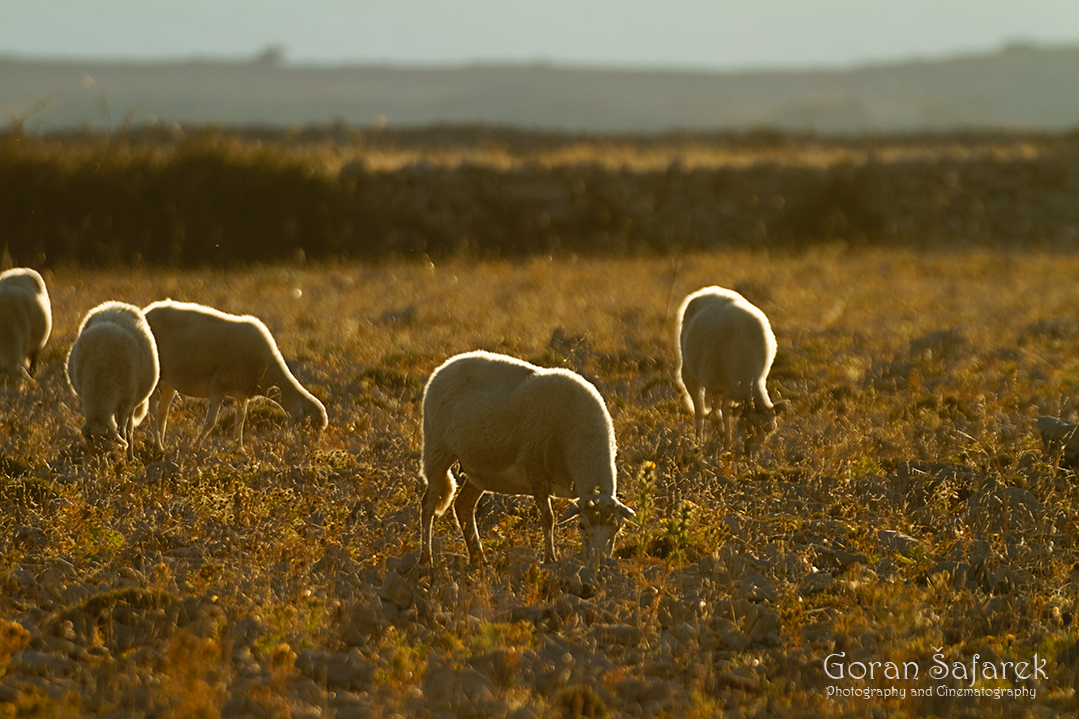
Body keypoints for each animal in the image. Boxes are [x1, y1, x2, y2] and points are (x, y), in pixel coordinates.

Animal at [64, 297, 158, 455]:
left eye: (106, 450)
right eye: (88, 450)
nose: (97, 463)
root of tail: (116, 304)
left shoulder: (127, 402)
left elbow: (123, 430)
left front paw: (125, 456)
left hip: (133, 401)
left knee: (129, 427)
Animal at [144, 297, 328, 449]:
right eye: (309, 426)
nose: (310, 451)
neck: (266, 368)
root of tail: (147, 311)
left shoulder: (242, 393)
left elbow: (240, 421)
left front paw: (240, 449)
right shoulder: (218, 386)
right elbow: (211, 422)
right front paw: (194, 447)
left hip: (169, 380)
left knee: (162, 411)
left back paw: (162, 444)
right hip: (155, 375)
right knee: (153, 412)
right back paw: (158, 446)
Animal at [416, 349, 634, 570]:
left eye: (617, 527)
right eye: (581, 526)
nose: (599, 565)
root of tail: (445, 366)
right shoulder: (535, 470)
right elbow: (548, 518)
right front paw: (550, 559)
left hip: (480, 470)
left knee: (463, 506)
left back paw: (479, 559)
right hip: (437, 449)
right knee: (428, 505)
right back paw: (426, 559)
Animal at [673, 285, 785, 449]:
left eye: (770, 429)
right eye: (750, 426)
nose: (753, 452)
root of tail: (708, 290)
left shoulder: (732, 390)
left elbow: (726, 413)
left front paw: (727, 442)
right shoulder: (714, 386)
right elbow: (717, 415)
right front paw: (720, 440)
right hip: (690, 374)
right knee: (700, 411)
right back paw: (698, 442)